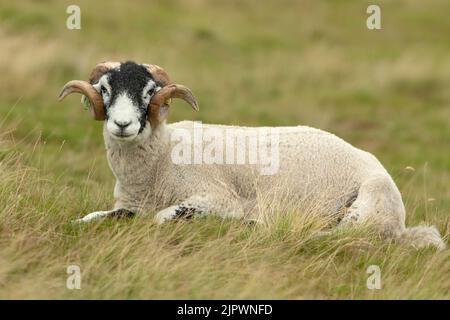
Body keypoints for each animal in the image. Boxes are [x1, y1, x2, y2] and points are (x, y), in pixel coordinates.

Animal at [59, 60, 446, 250]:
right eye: (104, 89)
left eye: (149, 91)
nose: (122, 124)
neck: (163, 158)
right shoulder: (130, 204)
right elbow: (90, 218)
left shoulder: (215, 197)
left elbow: (162, 218)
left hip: (367, 206)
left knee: (341, 237)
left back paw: (261, 227)